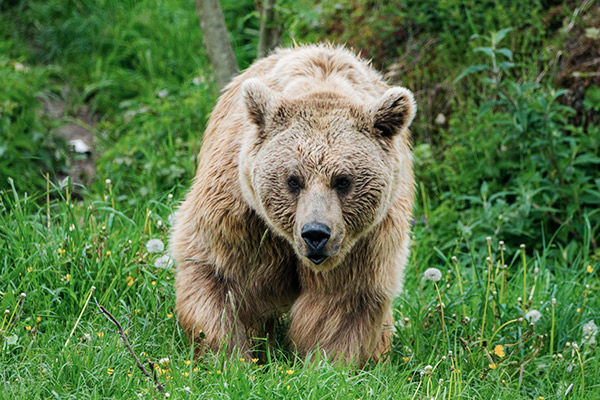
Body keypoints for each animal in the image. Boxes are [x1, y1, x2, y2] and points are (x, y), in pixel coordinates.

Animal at [172, 43, 418, 366]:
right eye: (293, 180)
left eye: (343, 180)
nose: (315, 233)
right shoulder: (241, 216)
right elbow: (217, 275)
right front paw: (228, 356)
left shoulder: (363, 244)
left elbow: (338, 303)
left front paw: (323, 364)